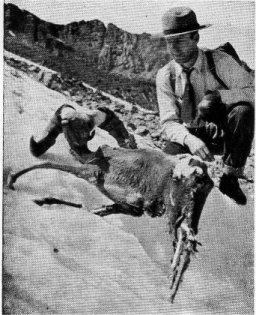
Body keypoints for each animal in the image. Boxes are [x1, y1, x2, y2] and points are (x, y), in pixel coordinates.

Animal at [7, 107, 214, 304]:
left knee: (184, 240)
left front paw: (12, 179)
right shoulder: (129, 208)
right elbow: (92, 210)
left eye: (83, 123)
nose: (66, 121)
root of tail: (201, 174)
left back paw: (170, 290)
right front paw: (43, 201)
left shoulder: (89, 172)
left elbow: (49, 164)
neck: (97, 156)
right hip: (186, 214)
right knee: (189, 242)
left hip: (175, 210)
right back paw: (171, 291)